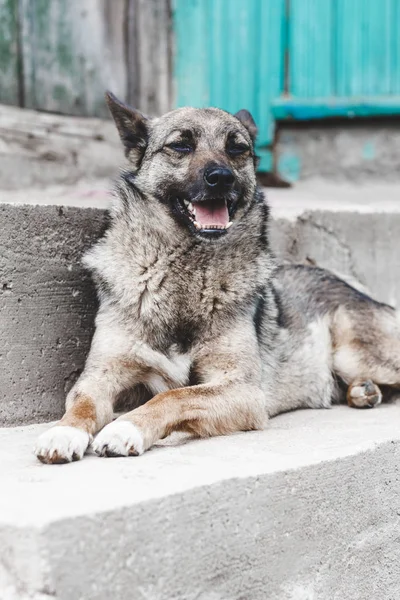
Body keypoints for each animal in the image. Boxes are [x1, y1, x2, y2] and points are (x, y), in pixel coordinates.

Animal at [35, 95, 400, 464]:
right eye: (180, 145)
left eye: (237, 148)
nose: (222, 177)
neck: (185, 268)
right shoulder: (100, 376)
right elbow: (82, 404)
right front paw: (64, 431)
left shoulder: (243, 391)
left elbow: (174, 396)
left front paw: (125, 427)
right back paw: (363, 391)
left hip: (354, 355)